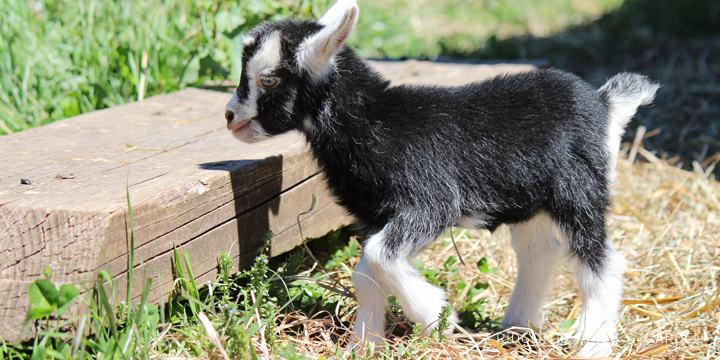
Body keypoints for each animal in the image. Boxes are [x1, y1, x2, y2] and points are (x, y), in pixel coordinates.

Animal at [225, 0, 660, 354]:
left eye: (268, 78)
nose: (230, 117)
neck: (375, 121)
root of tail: (605, 103)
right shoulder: (377, 215)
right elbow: (365, 273)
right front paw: (365, 344)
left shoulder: (430, 202)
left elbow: (380, 256)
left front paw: (437, 317)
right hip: (531, 199)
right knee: (539, 253)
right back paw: (516, 327)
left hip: (579, 188)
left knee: (601, 262)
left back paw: (593, 342)